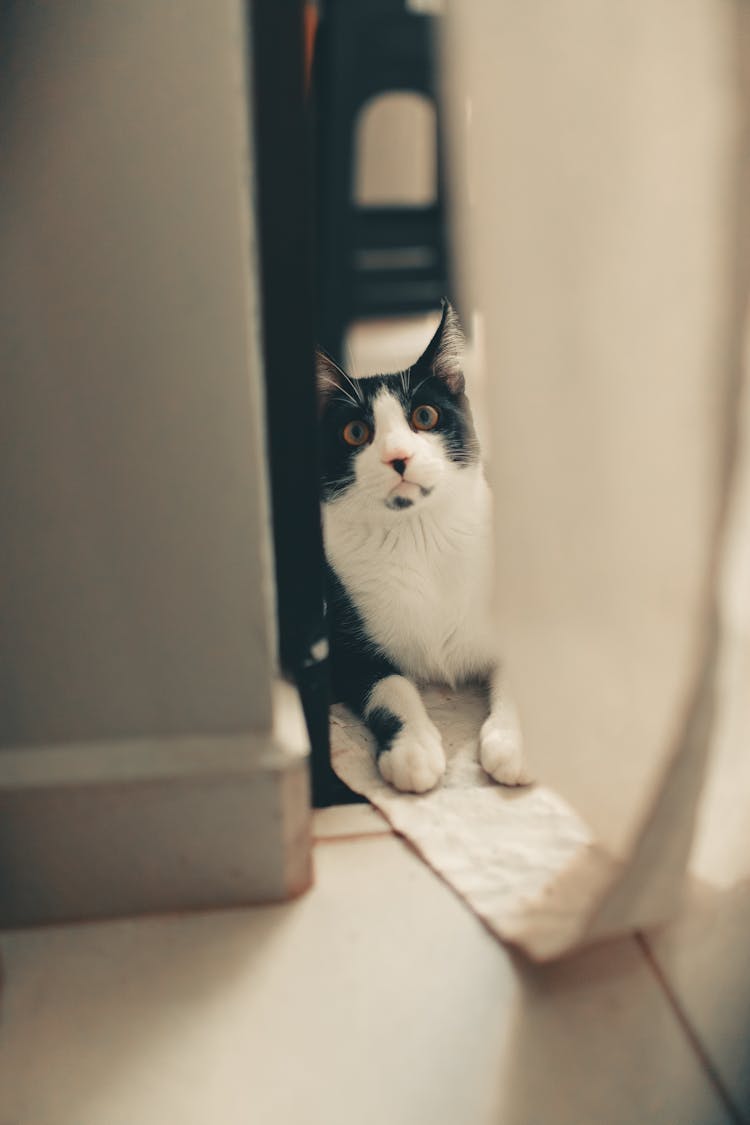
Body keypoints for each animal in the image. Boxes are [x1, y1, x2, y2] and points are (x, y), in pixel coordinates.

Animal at [319, 299, 530, 792]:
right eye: (355, 433)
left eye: (425, 417)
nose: (398, 457)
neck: (418, 534)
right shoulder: (345, 648)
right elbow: (391, 687)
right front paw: (412, 750)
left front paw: (511, 744)